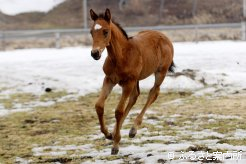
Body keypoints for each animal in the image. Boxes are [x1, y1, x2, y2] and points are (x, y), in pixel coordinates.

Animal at [89, 8, 174, 155]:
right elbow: (99, 105)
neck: (121, 56)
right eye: (91, 32)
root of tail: (163, 36)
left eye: (105, 31)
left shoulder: (128, 82)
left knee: (153, 93)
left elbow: (118, 111)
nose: (95, 53)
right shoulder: (109, 79)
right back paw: (116, 131)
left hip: (160, 73)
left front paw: (115, 145)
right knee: (135, 97)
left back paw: (133, 129)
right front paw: (108, 134)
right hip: (136, 80)